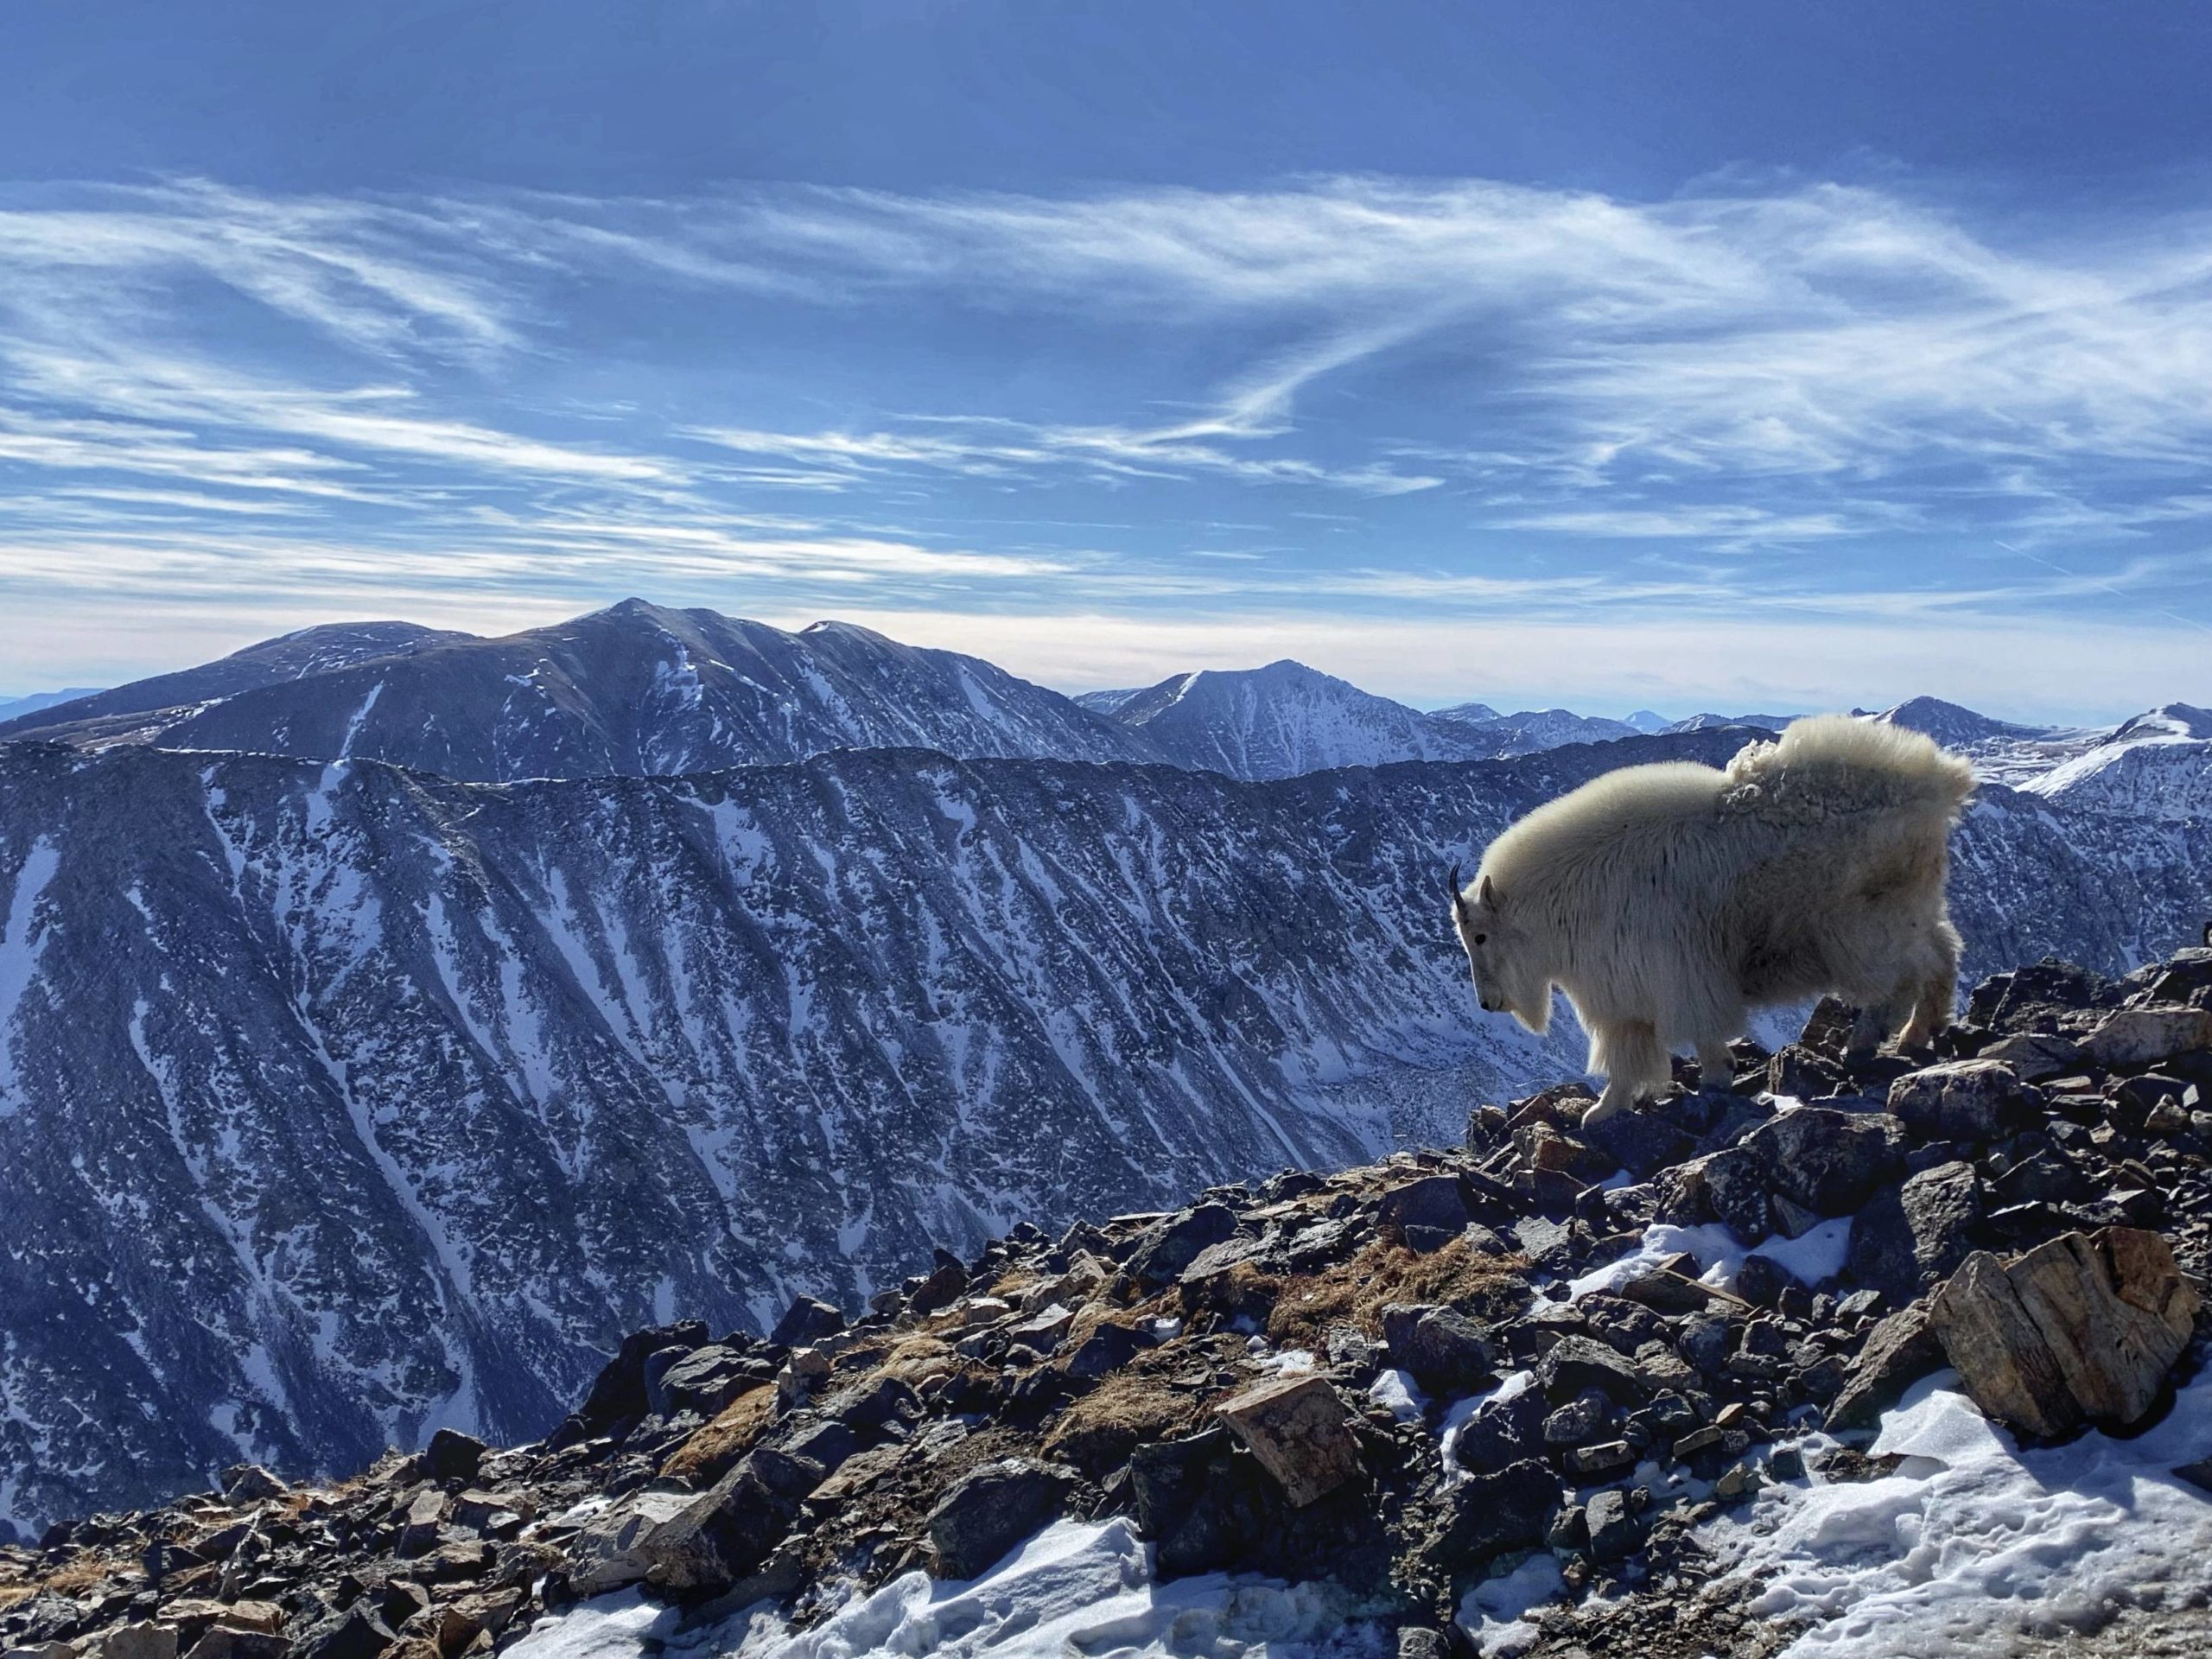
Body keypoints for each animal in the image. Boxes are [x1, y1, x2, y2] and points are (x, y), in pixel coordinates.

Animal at [1451, 716, 1973, 1132]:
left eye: (1480, 935)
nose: (1488, 1003)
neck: (1568, 892)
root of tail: (1941, 785)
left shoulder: (1666, 974)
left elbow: (1674, 1038)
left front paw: (1697, 1085)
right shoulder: (1625, 993)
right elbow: (1630, 1050)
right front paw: (1612, 1108)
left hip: (1866, 925)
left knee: (1903, 976)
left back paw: (1867, 1041)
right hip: (1914, 908)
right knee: (1942, 955)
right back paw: (1918, 1032)